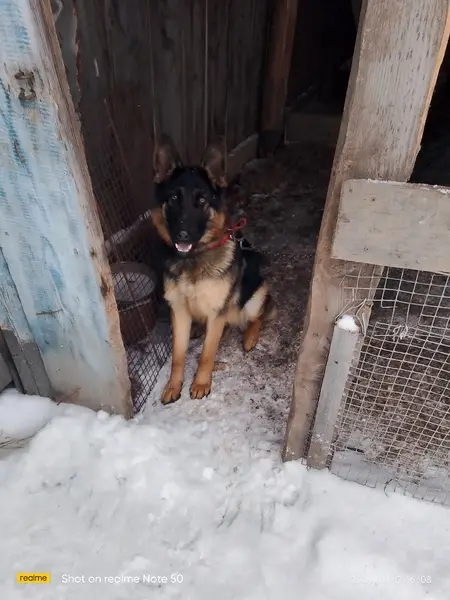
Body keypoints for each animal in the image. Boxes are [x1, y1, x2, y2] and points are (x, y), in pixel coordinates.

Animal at [151, 135, 274, 404]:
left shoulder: (217, 312)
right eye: (173, 199)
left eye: (201, 201)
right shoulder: (178, 310)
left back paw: (250, 336)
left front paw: (201, 383)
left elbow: (207, 354)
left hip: (255, 293)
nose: (183, 234)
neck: (193, 258)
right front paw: (173, 386)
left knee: (257, 318)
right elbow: (178, 356)